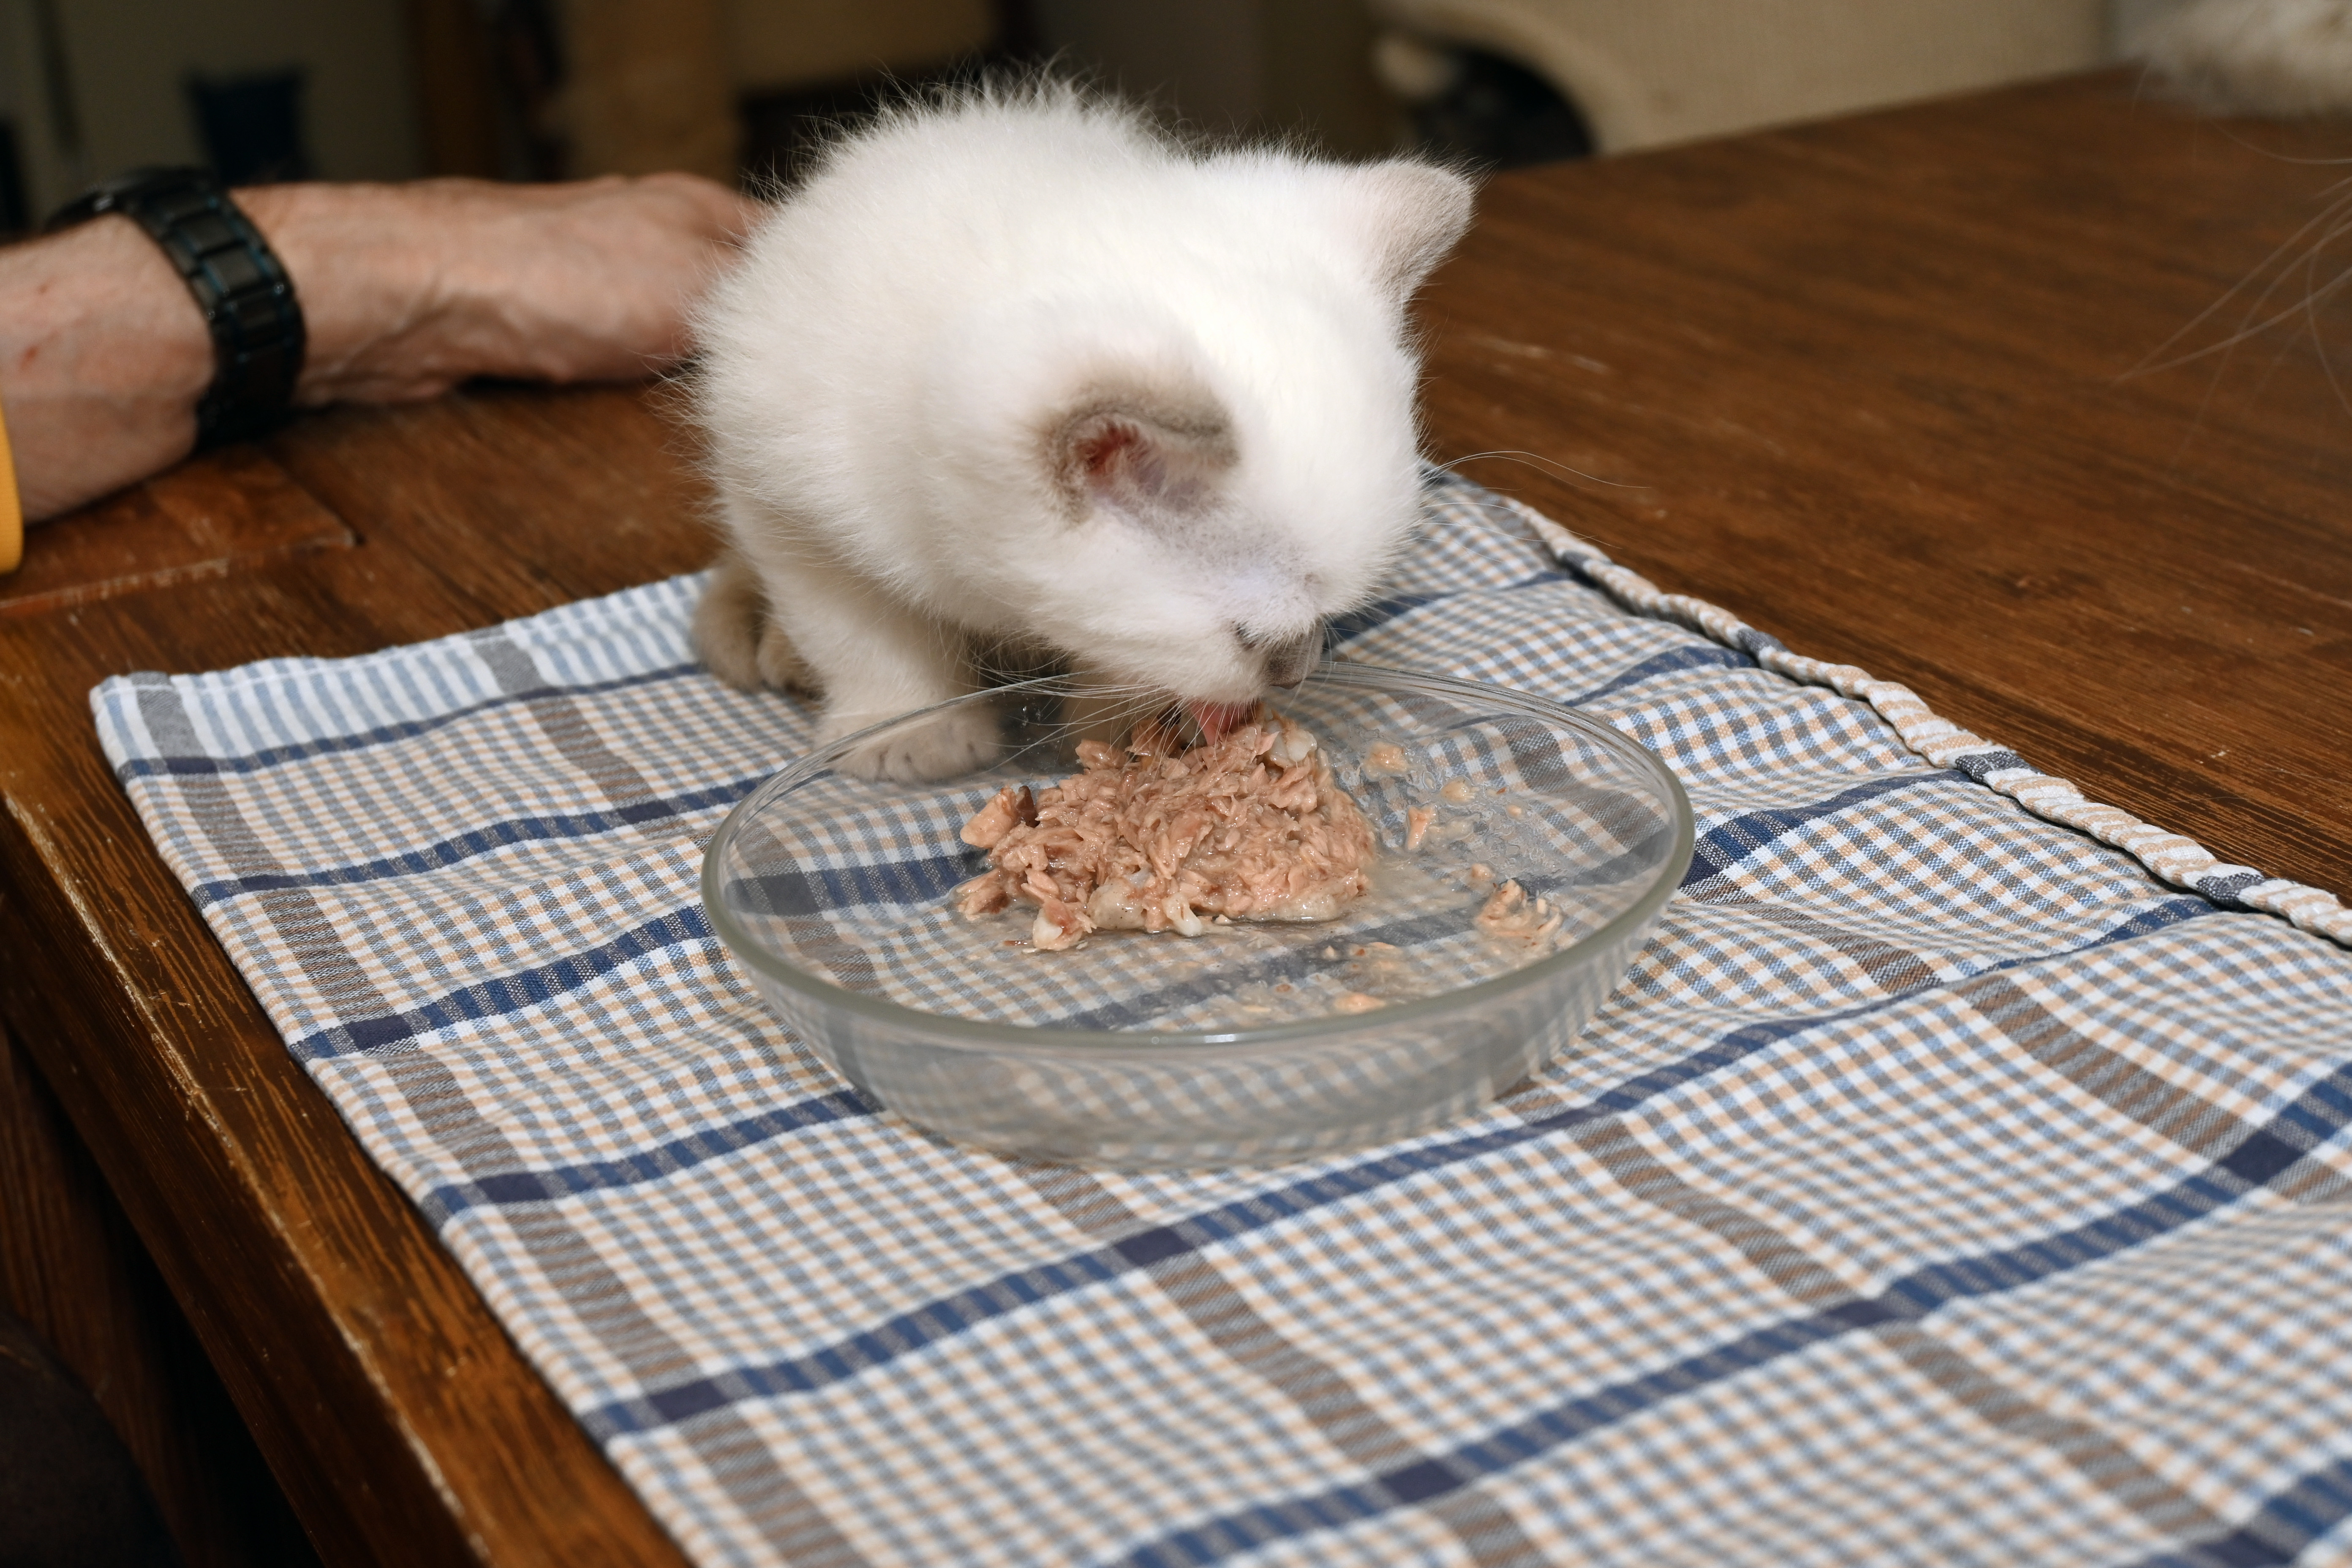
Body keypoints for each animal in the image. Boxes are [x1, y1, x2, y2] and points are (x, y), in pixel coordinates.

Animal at [688, 81, 1475, 780]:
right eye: (1254, 637)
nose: (1295, 674)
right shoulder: (785, 503)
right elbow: (861, 634)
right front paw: (910, 732)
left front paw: (1127, 730)